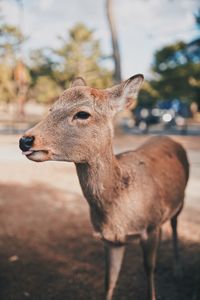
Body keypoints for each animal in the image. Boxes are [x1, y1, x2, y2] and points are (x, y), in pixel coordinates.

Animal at [18, 73, 189, 300]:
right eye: (51, 109)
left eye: (82, 114)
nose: (25, 140)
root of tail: (170, 138)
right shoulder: (110, 240)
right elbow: (109, 281)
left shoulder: (150, 227)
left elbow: (148, 269)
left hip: (180, 202)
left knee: (175, 227)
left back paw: (178, 270)